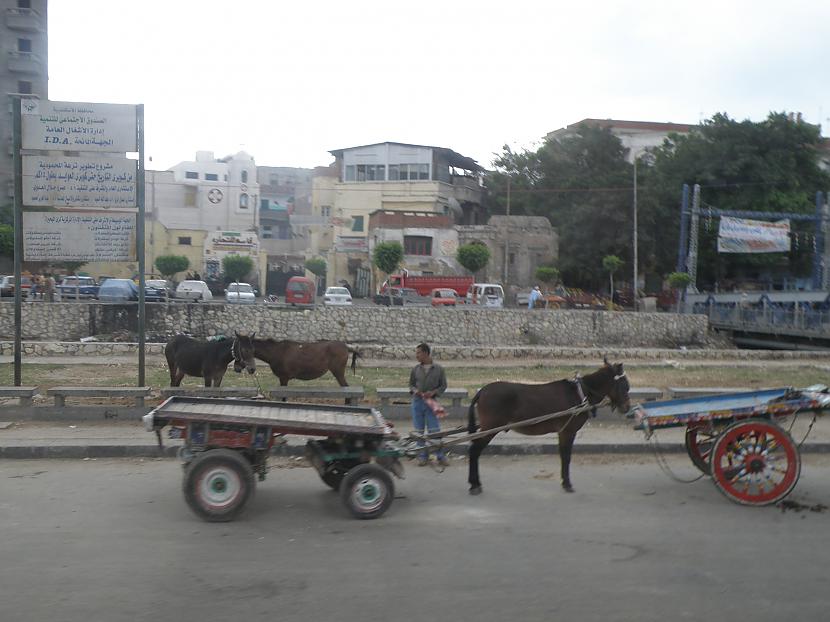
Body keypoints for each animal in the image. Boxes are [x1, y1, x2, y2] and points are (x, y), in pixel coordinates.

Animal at [468, 360, 632, 498]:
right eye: (625, 385)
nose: (627, 408)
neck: (581, 394)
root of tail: (482, 390)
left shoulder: (562, 432)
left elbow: (563, 455)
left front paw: (564, 482)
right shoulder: (568, 432)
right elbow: (566, 457)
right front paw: (567, 484)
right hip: (490, 428)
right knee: (474, 451)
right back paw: (475, 485)